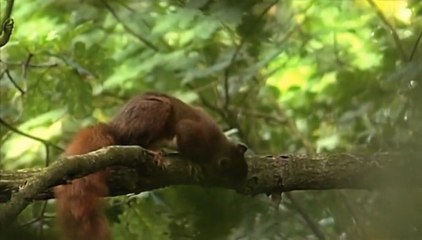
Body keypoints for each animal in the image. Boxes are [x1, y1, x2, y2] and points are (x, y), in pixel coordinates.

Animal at [54, 92, 249, 240]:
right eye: (232, 174)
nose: (242, 184)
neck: (217, 146)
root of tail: (115, 127)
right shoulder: (191, 130)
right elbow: (186, 143)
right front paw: (193, 163)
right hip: (156, 111)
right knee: (133, 141)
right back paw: (155, 152)